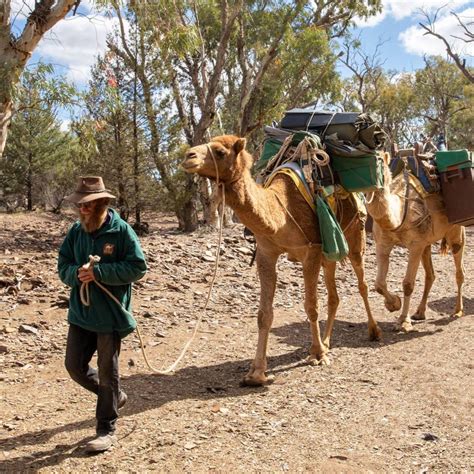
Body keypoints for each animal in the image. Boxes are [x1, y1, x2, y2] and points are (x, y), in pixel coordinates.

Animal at [181, 133, 382, 386]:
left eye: (219, 152)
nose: (188, 156)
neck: (280, 214)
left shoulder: (311, 251)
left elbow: (311, 306)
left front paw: (317, 355)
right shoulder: (267, 253)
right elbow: (264, 314)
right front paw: (256, 372)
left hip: (355, 237)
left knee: (362, 284)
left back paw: (373, 331)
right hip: (331, 251)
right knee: (334, 296)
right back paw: (327, 342)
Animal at [364, 154, 464, 332]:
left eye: (380, 163)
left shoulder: (415, 244)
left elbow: (408, 284)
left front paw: (403, 321)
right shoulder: (382, 243)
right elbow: (379, 284)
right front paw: (394, 304)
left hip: (455, 230)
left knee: (459, 270)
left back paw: (457, 311)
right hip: (427, 243)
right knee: (430, 275)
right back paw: (419, 312)